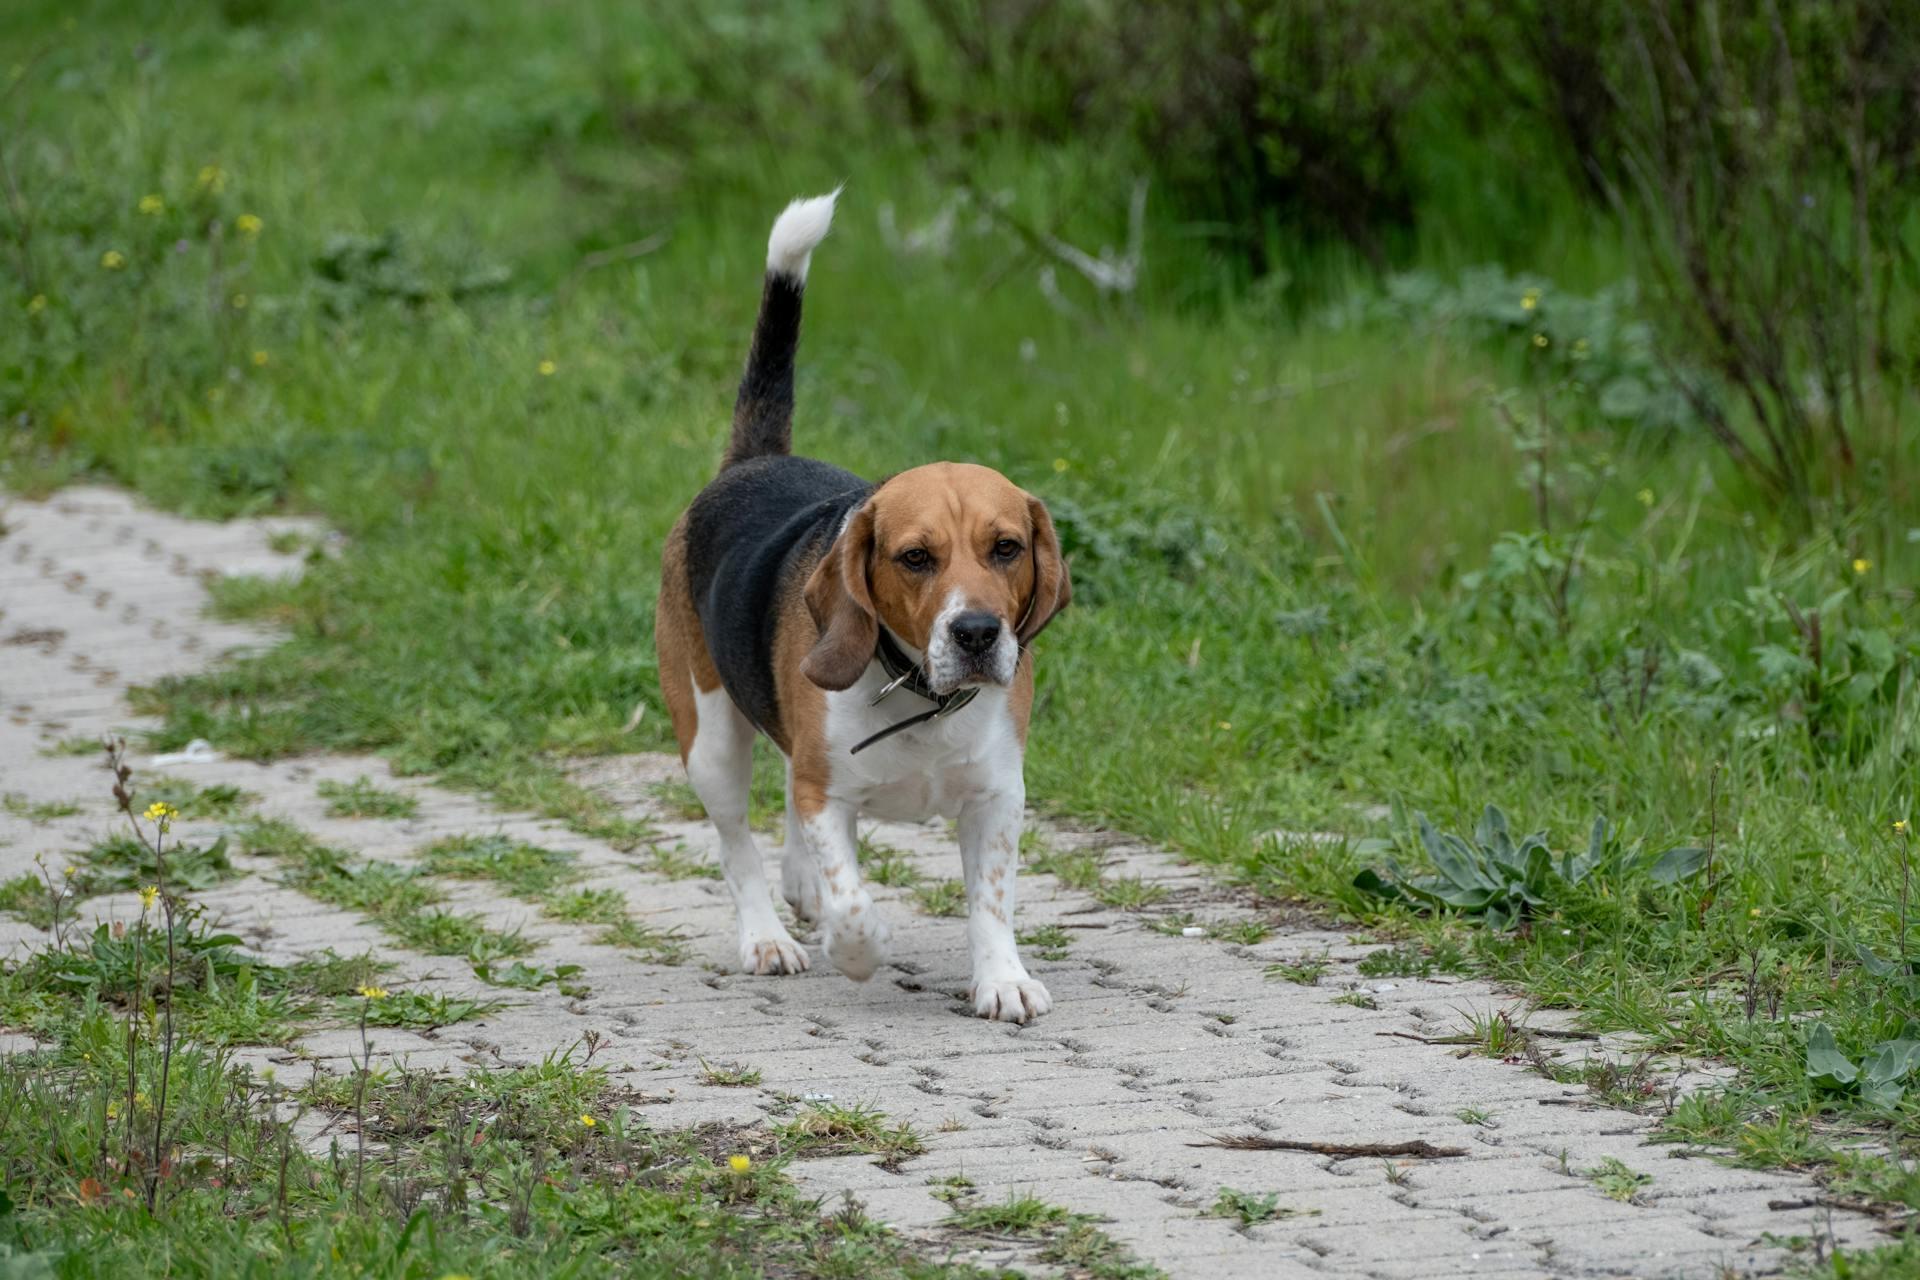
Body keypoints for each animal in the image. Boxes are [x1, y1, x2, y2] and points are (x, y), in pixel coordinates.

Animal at [656, 189, 1075, 1028]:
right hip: (708, 739)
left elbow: (991, 900)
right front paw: (858, 945)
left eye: (1007, 548)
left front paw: (1002, 978)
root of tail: (754, 461)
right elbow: (852, 902)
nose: (977, 633)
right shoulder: (829, 795)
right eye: (915, 557)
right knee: (737, 843)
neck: (922, 695)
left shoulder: (997, 798)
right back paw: (768, 936)